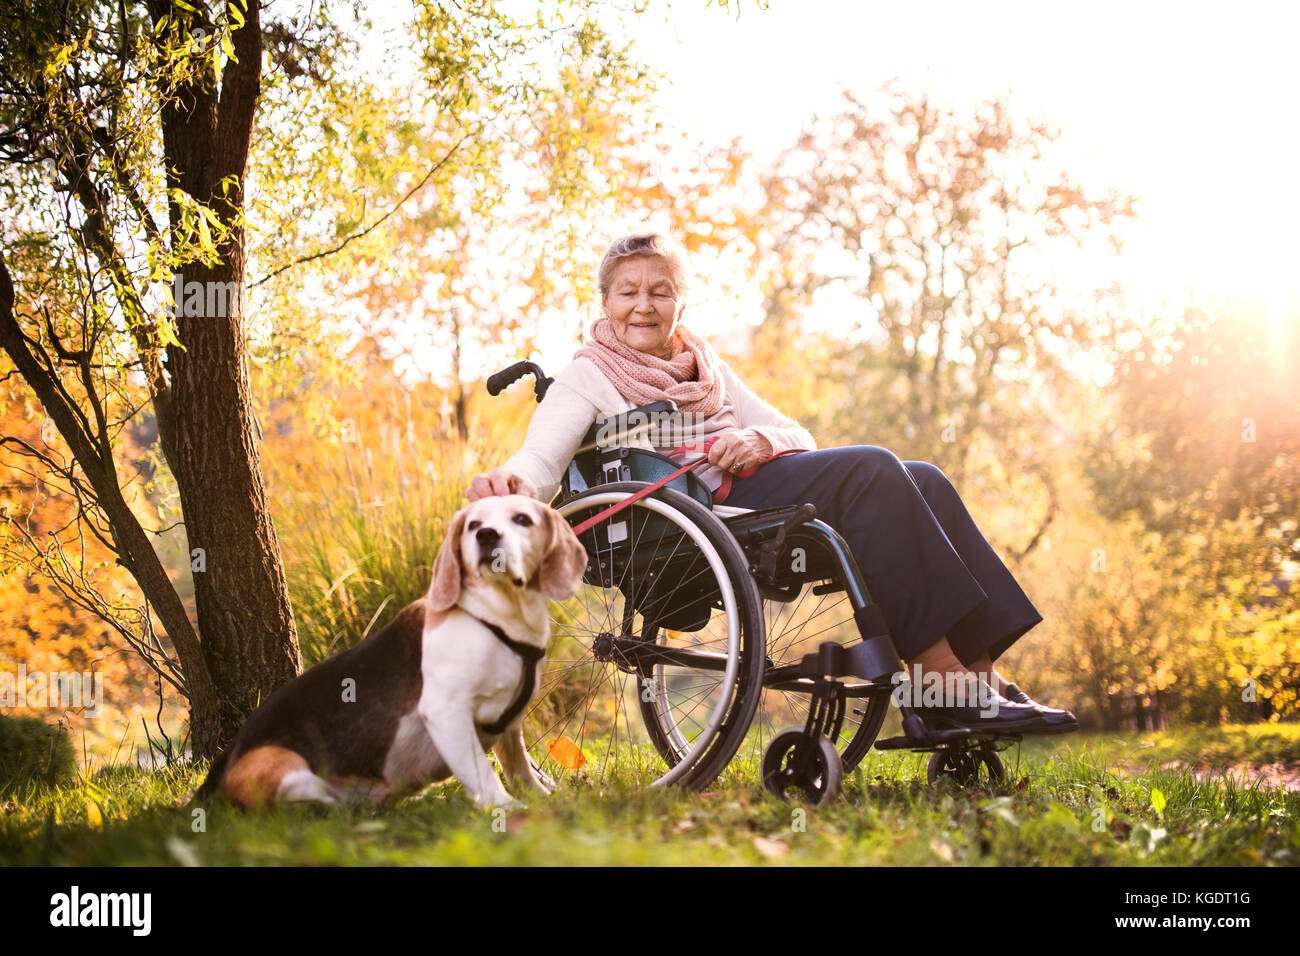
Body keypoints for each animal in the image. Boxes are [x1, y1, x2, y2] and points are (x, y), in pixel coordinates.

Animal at [192, 496, 590, 811]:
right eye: (473, 525)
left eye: (522, 519)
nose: (486, 535)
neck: (497, 617)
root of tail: (223, 764)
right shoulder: (446, 713)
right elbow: (484, 771)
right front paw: (507, 809)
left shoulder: (510, 723)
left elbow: (519, 767)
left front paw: (543, 798)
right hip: (285, 769)